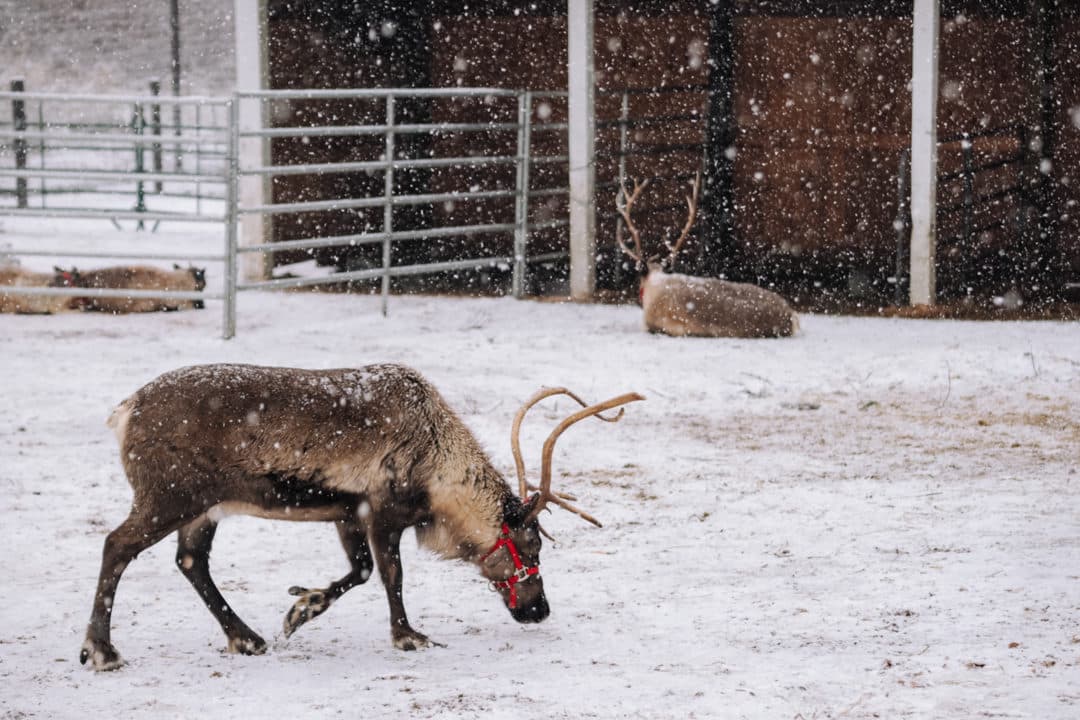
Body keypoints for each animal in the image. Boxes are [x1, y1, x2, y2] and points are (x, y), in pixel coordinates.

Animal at [80, 362, 643, 671]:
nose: (539, 610)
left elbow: (360, 570)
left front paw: (301, 608)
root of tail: (124, 410)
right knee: (117, 545)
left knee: (191, 561)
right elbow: (391, 575)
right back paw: (102, 651)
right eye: (531, 546)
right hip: (169, 497)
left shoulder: (347, 513)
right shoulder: (383, 511)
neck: (437, 464)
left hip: (203, 508)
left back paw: (247, 638)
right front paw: (408, 636)